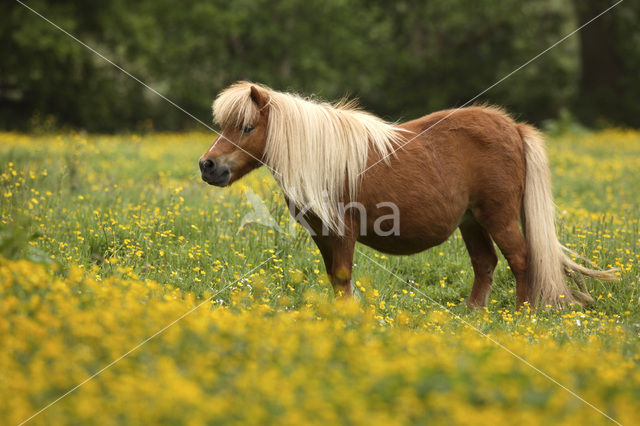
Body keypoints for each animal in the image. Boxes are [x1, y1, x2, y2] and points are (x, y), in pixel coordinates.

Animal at [199, 81, 616, 308]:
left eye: (247, 126)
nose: (209, 166)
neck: (324, 158)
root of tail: (512, 127)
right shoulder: (322, 235)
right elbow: (334, 279)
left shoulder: (343, 232)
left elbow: (343, 277)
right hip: (471, 222)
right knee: (486, 263)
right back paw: (473, 313)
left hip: (498, 216)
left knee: (521, 259)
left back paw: (521, 314)